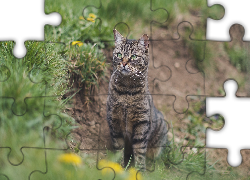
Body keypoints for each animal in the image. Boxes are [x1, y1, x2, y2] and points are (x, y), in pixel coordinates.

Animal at [106, 28, 168, 171]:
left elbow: (139, 152)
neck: (126, 91)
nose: (123, 63)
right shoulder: (114, 119)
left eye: (133, 57)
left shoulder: (141, 123)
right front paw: (118, 166)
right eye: (119, 55)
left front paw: (140, 171)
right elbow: (118, 147)